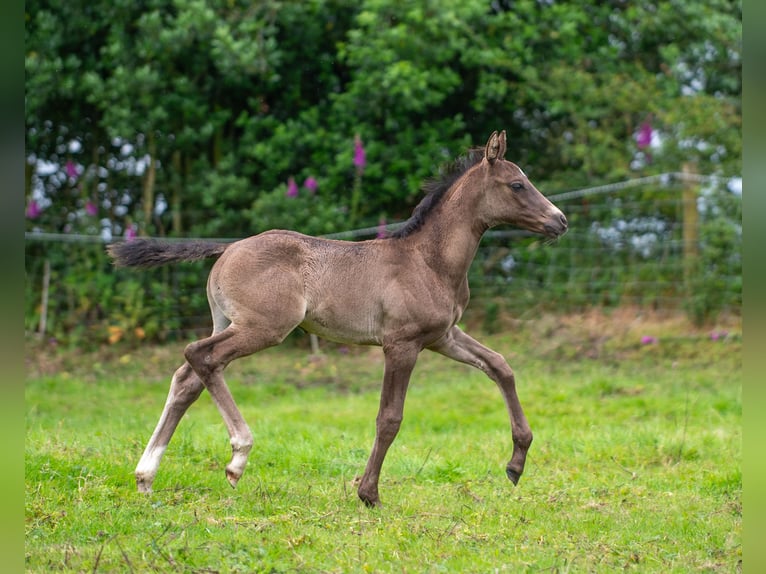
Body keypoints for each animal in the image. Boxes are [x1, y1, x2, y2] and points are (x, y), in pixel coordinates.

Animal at [112, 132, 568, 508]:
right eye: (517, 184)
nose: (560, 220)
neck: (428, 260)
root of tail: (228, 248)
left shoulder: (443, 336)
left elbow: (500, 366)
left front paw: (516, 463)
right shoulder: (401, 344)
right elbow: (389, 418)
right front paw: (369, 494)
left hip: (227, 322)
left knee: (187, 379)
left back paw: (146, 476)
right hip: (264, 328)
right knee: (200, 356)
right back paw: (238, 456)